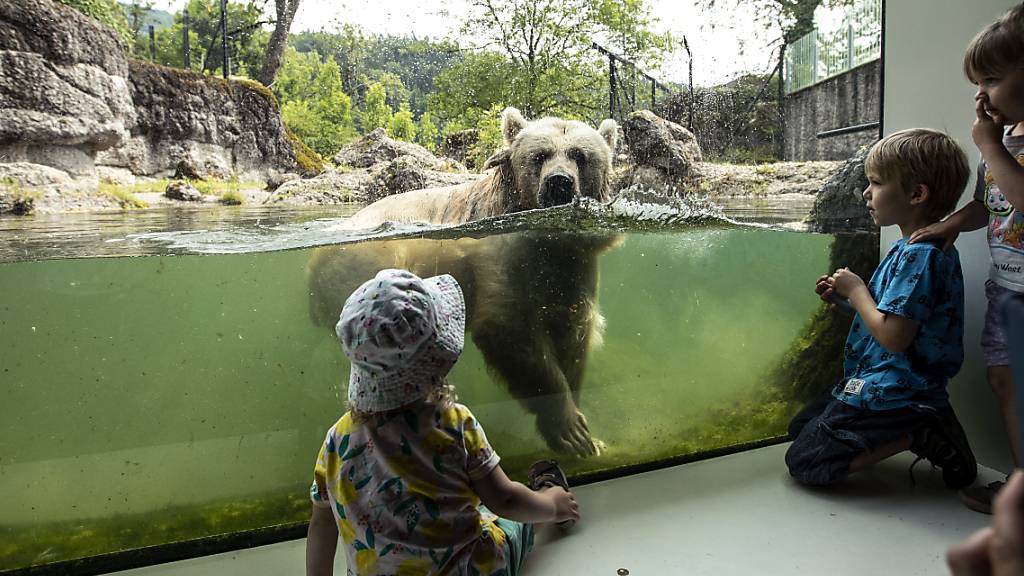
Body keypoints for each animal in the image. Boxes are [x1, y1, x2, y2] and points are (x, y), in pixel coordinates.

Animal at [305, 106, 614, 457]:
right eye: (539, 155)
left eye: (579, 156)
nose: (559, 182)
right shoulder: (499, 255)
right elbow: (509, 325)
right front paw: (570, 429)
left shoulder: (573, 262)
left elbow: (572, 327)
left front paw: (585, 430)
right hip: (366, 267)